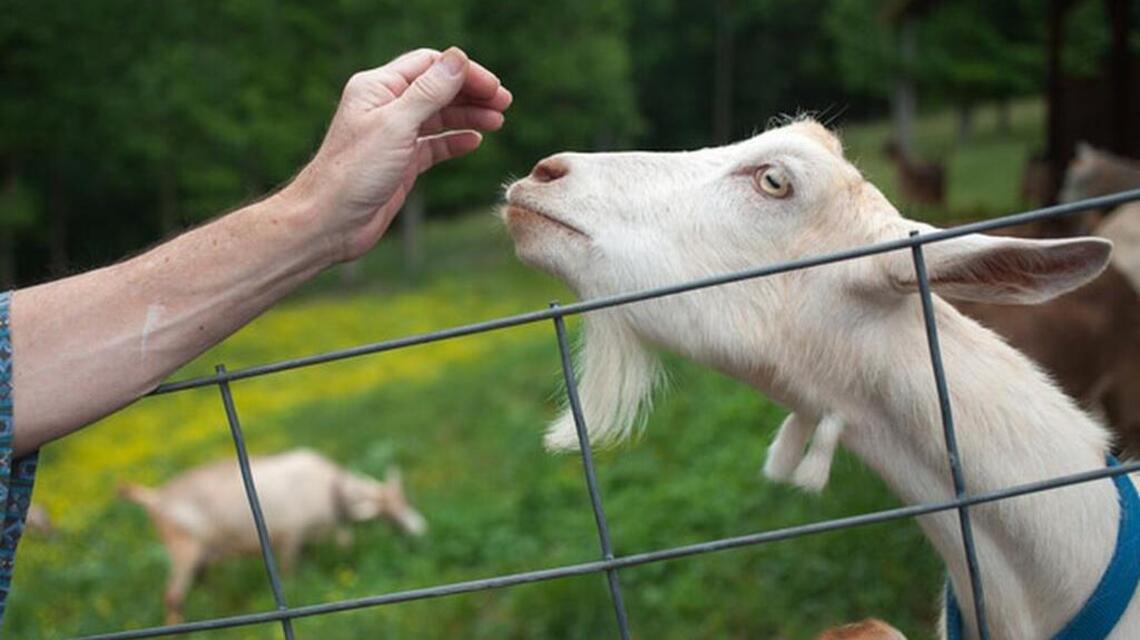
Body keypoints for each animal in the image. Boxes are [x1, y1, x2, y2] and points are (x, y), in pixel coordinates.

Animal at [122, 448, 426, 624]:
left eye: (406, 501)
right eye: (392, 515)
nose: (420, 530)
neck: (331, 490)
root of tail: (155, 498)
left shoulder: (303, 541)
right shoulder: (291, 537)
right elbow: (291, 575)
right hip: (183, 549)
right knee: (173, 595)